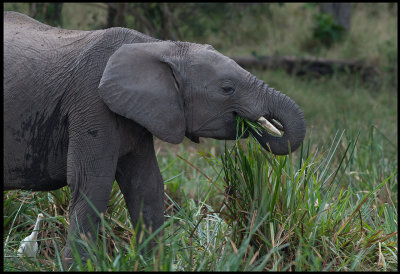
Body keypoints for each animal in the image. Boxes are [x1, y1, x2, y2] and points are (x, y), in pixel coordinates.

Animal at [3, 11, 306, 264]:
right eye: (227, 88)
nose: (257, 125)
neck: (159, 46)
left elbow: (146, 185)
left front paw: (152, 263)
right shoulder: (90, 104)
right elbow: (93, 183)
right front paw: (77, 265)